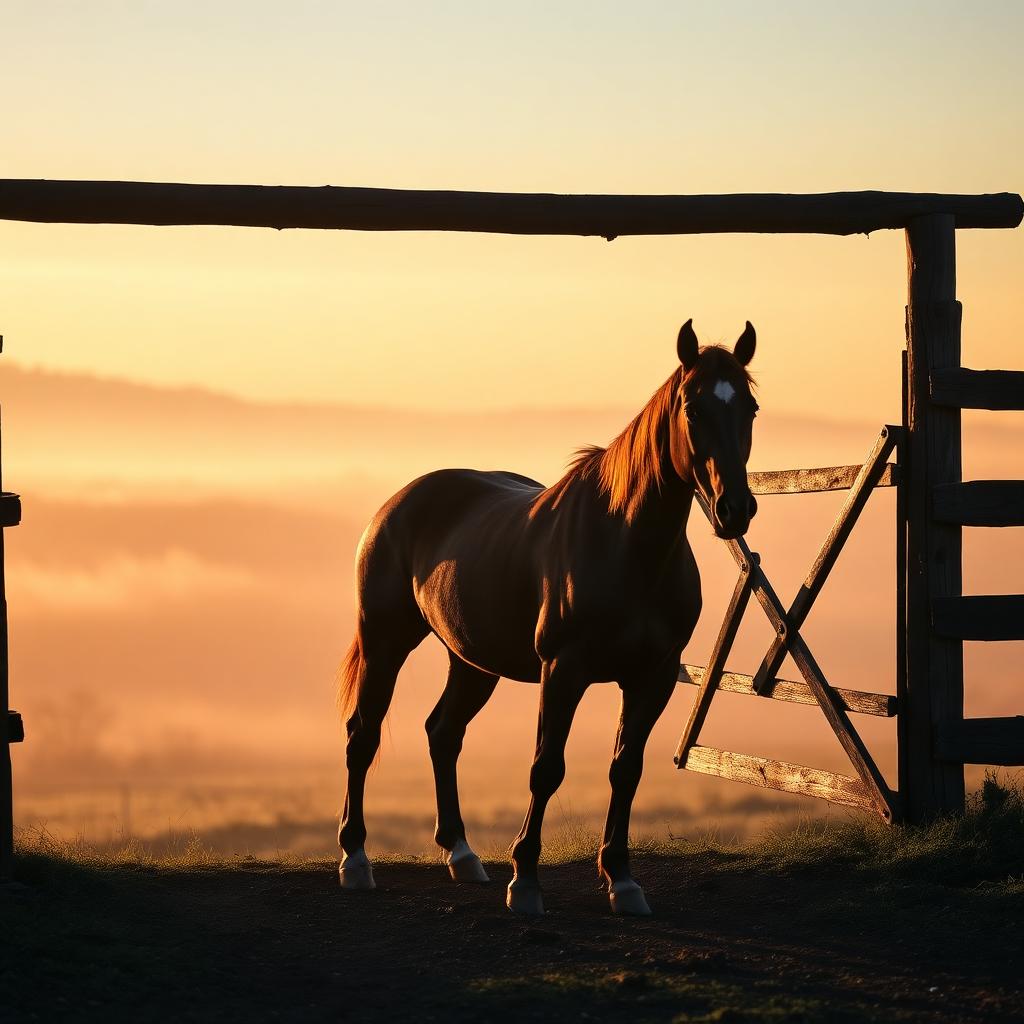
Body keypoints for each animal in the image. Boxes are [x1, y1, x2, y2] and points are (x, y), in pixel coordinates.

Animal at [337, 319, 759, 916]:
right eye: (692, 408)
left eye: (750, 407)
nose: (735, 509)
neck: (626, 546)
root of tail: (397, 504)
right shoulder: (563, 671)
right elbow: (546, 768)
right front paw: (526, 882)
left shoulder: (651, 678)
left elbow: (625, 769)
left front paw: (622, 880)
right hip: (385, 641)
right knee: (363, 735)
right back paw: (355, 859)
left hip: (473, 662)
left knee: (443, 733)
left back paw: (462, 854)